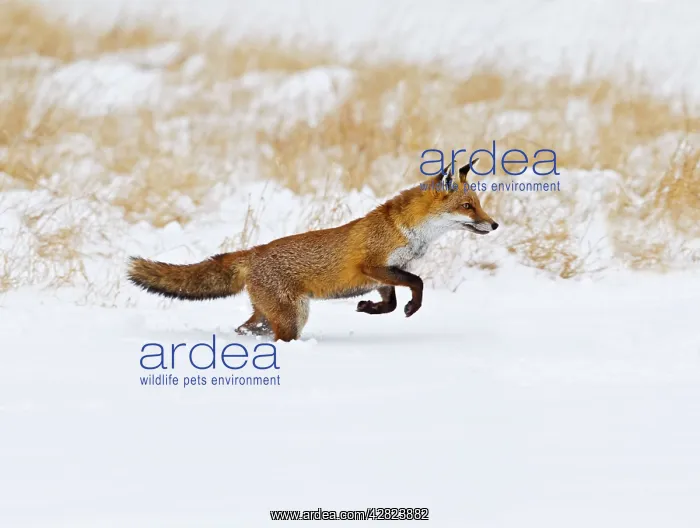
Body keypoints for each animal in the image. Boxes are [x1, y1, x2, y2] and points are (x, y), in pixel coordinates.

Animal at [127, 159, 498, 341]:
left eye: (478, 205)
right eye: (468, 207)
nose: (494, 225)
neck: (407, 232)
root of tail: (253, 251)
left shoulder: (382, 277)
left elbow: (390, 303)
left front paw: (368, 308)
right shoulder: (373, 266)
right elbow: (416, 283)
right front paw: (412, 307)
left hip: (271, 316)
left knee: (245, 328)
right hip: (292, 317)